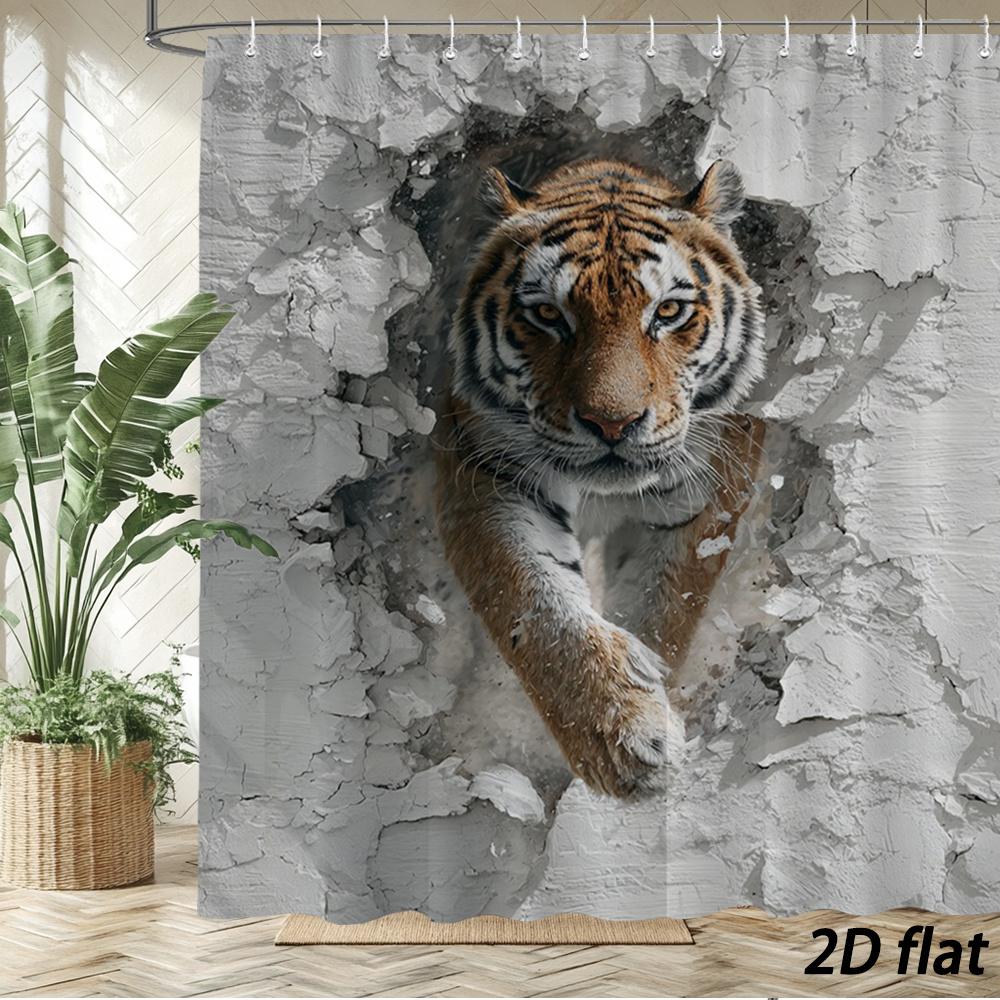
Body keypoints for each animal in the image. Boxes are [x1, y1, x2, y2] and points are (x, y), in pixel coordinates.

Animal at [434, 158, 767, 800]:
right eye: (547, 315)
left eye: (668, 312)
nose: (613, 422)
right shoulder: (489, 471)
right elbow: (535, 603)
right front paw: (623, 737)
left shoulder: (709, 480)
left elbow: (662, 603)